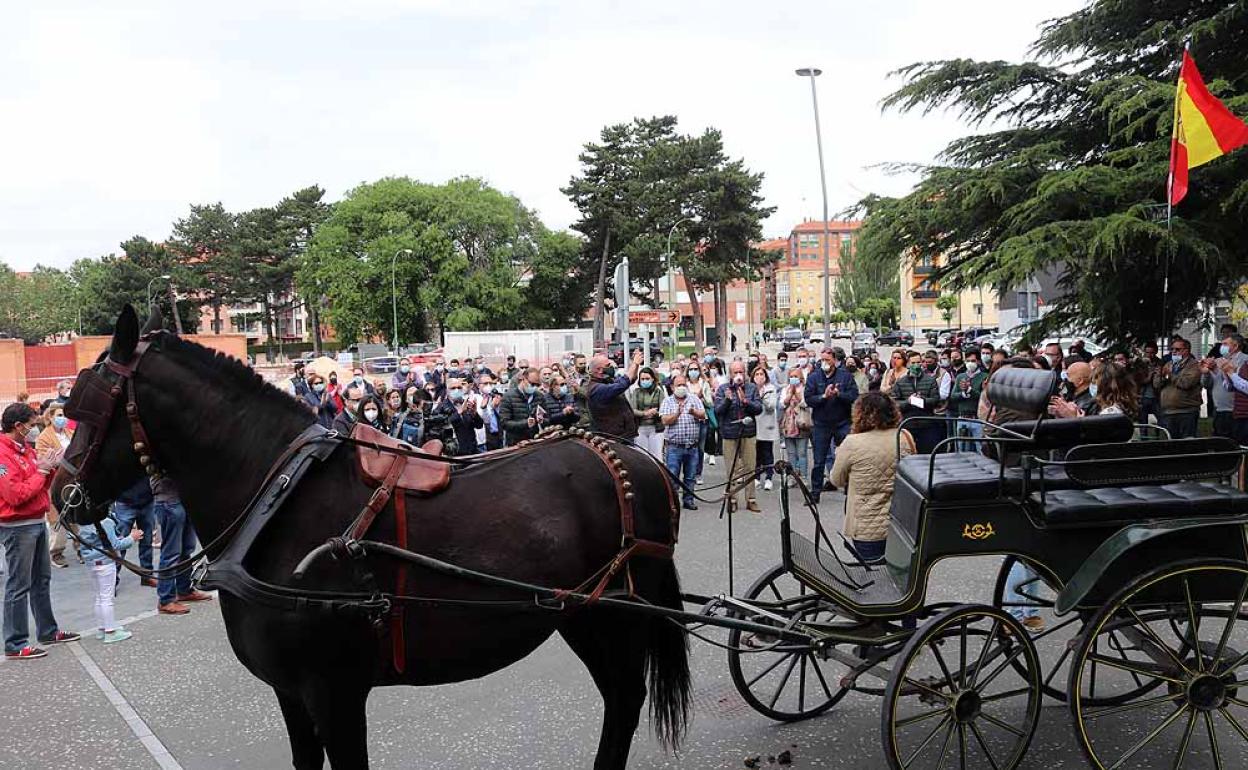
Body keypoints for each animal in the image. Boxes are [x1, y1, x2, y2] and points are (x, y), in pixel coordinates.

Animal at [51, 305, 693, 768]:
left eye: (91, 407)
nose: (61, 494)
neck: (277, 496)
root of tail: (637, 461)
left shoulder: (334, 692)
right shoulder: (291, 693)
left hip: (614, 618)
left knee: (624, 701)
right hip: (581, 615)